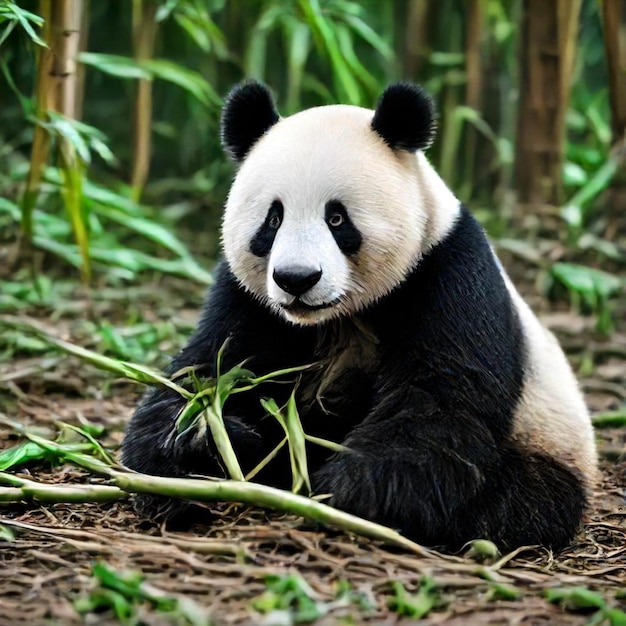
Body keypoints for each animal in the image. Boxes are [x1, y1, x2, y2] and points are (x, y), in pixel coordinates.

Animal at [120, 80, 596, 548]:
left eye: (337, 218)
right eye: (273, 219)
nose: (296, 279)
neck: (337, 315)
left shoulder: (448, 271)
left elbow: (441, 401)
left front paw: (351, 494)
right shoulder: (248, 299)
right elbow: (206, 366)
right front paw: (205, 437)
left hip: (548, 440)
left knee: (521, 500)